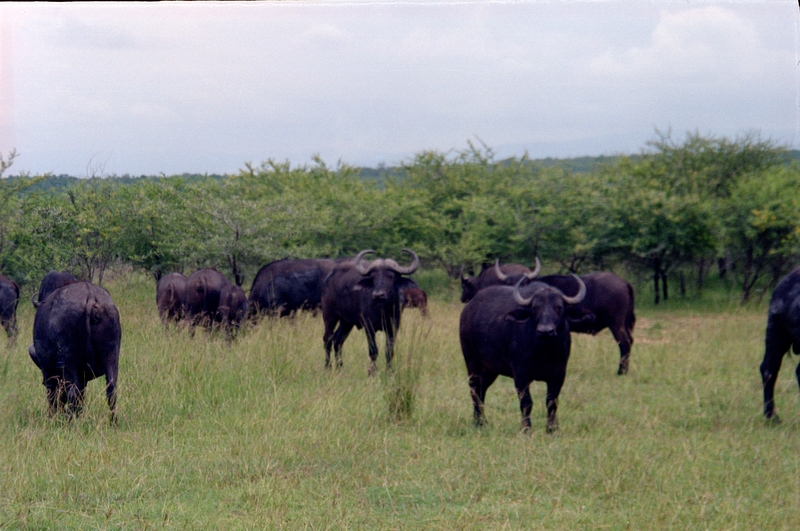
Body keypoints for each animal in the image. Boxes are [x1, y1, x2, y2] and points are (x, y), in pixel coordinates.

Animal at [27, 280, 121, 422]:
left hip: (68, 361)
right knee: (111, 389)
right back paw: (113, 422)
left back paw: (69, 419)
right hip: (112, 355)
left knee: (72, 391)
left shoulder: (48, 370)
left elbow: (53, 393)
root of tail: (91, 296)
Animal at [460, 276, 584, 434]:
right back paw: (478, 422)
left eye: (559, 307)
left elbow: (552, 402)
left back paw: (483, 421)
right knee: (474, 388)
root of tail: (468, 309)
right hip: (472, 361)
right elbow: (526, 402)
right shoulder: (520, 374)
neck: (544, 350)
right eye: (535, 308)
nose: (546, 331)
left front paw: (552, 429)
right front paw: (526, 429)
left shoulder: (559, 374)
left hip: (490, 369)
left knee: (482, 389)